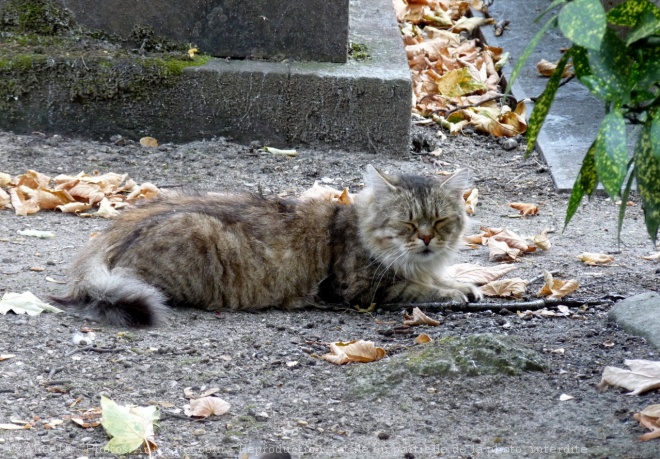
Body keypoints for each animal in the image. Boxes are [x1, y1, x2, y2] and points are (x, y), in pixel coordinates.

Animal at [51, 165, 482, 328]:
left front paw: (467, 283)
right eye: (407, 223)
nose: (425, 238)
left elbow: (446, 277)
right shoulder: (360, 288)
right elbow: (421, 288)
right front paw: (456, 292)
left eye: (439, 222)